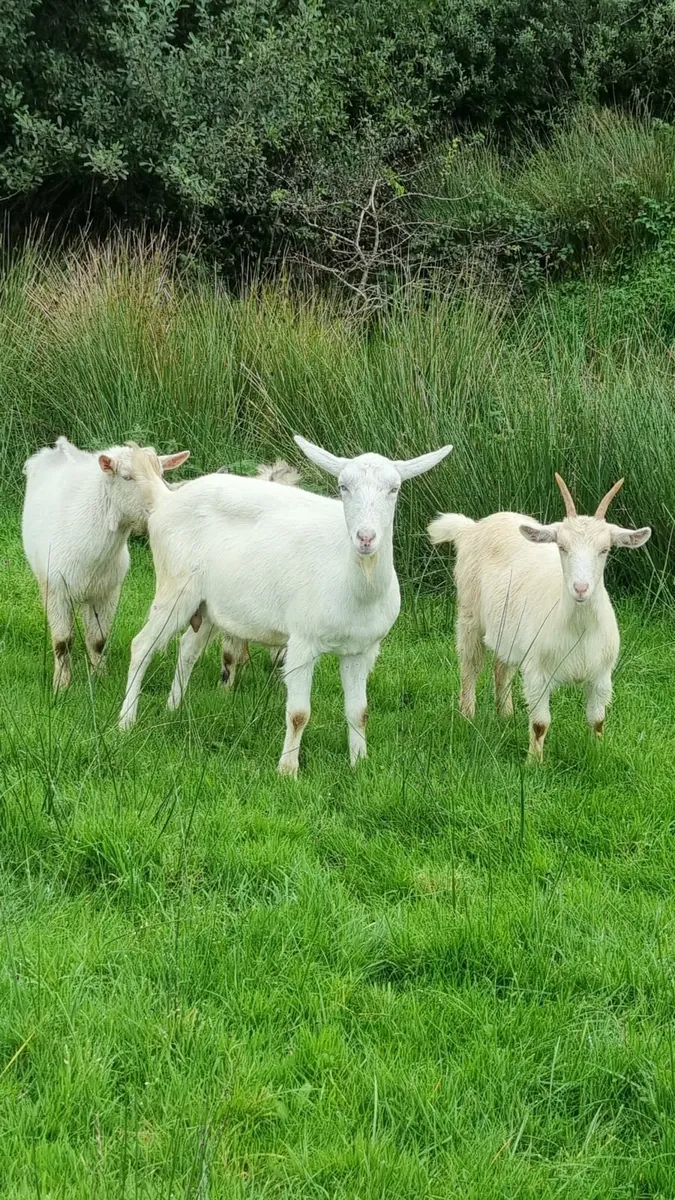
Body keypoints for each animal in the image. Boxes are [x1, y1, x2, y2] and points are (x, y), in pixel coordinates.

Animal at [22, 437, 189, 689]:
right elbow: (62, 641)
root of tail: (60, 447)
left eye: (161, 473)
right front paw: (61, 685)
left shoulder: (107, 592)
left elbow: (98, 639)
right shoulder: (56, 590)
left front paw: (99, 678)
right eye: (127, 477)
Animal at [118, 436, 452, 774]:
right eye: (343, 486)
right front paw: (287, 769)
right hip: (175, 587)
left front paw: (359, 764)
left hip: (208, 604)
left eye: (394, 488)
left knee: (187, 648)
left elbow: (359, 712)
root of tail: (166, 500)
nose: (366, 537)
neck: (355, 584)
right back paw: (126, 721)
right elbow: (299, 713)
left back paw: (173, 708)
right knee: (142, 645)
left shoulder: (362, 649)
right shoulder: (303, 640)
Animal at [428, 474, 651, 760]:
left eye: (605, 549)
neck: (578, 628)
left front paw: (597, 753)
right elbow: (540, 724)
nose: (580, 588)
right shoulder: (538, 672)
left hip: (508, 630)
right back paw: (467, 717)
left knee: (501, 668)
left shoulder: (601, 675)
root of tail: (473, 528)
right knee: (470, 666)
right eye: (562, 547)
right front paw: (534, 763)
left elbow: (597, 721)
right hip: (469, 615)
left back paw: (506, 715)